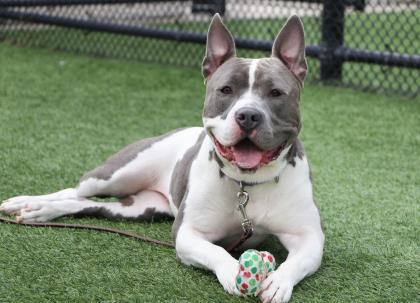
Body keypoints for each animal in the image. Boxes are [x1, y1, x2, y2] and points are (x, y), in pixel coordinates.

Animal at [0, 13, 324, 303]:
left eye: (276, 93)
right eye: (226, 90)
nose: (247, 115)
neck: (247, 185)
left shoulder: (308, 236)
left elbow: (297, 260)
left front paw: (278, 282)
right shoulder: (187, 233)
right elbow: (216, 250)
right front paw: (234, 271)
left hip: (136, 208)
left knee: (85, 204)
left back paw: (39, 211)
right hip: (116, 173)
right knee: (75, 190)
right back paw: (30, 204)